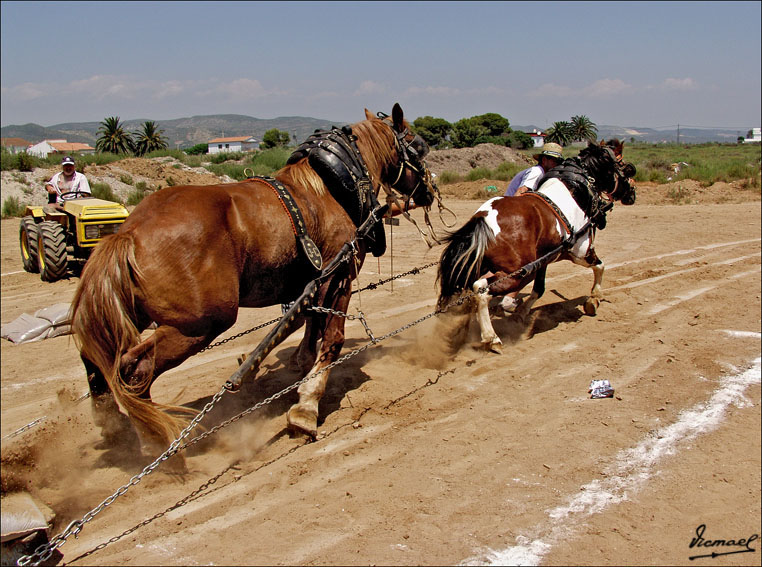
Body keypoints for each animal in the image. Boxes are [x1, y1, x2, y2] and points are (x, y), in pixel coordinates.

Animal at [72, 102, 440, 458]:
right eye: (418, 146)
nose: (430, 190)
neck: (329, 190)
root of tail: (128, 233)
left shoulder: (313, 281)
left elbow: (306, 320)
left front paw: (298, 362)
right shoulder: (341, 272)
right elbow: (332, 337)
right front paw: (306, 407)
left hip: (132, 314)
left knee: (97, 364)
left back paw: (116, 431)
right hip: (199, 325)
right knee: (135, 370)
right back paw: (156, 444)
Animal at [434, 140, 636, 352]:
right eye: (624, 166)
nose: (632, 192)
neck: (576, 190)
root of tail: (483, 220)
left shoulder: (544, 262)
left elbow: (539, 289)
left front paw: (522, 313)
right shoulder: (580, 252)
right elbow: (600, 266)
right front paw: (593, 300)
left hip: (483, 267)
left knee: (463, 292)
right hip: (518, 273)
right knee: (480, 289)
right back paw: (492, 338)